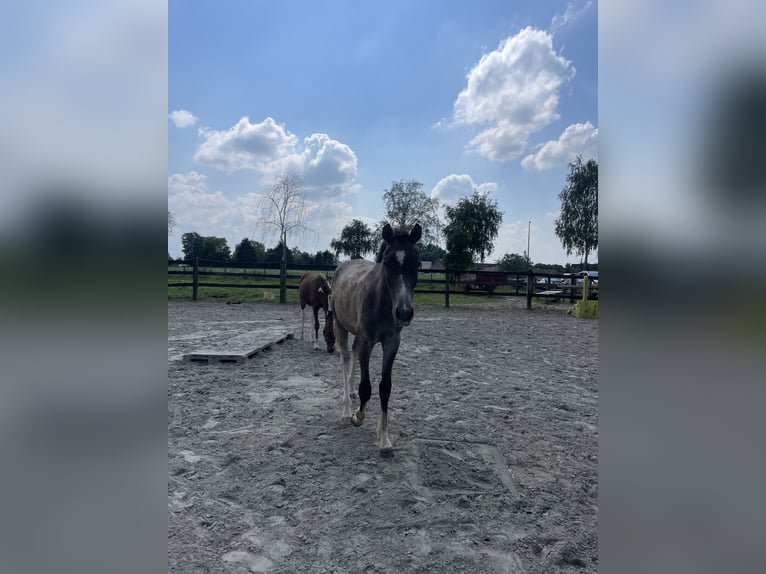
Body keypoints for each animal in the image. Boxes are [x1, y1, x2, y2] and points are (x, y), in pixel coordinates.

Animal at [332, 224, 424, 454]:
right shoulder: (367, 341)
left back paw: (351, 394)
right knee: (346, 358)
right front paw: (357, 416)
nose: (404, 313)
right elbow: (366, 387)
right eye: (388, 262)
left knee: (353, 353)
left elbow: (385, 387)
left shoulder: (391, 343)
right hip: (340, 325)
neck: (383, 302)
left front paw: (384, 438)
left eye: (417, 263)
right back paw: (346, 410)